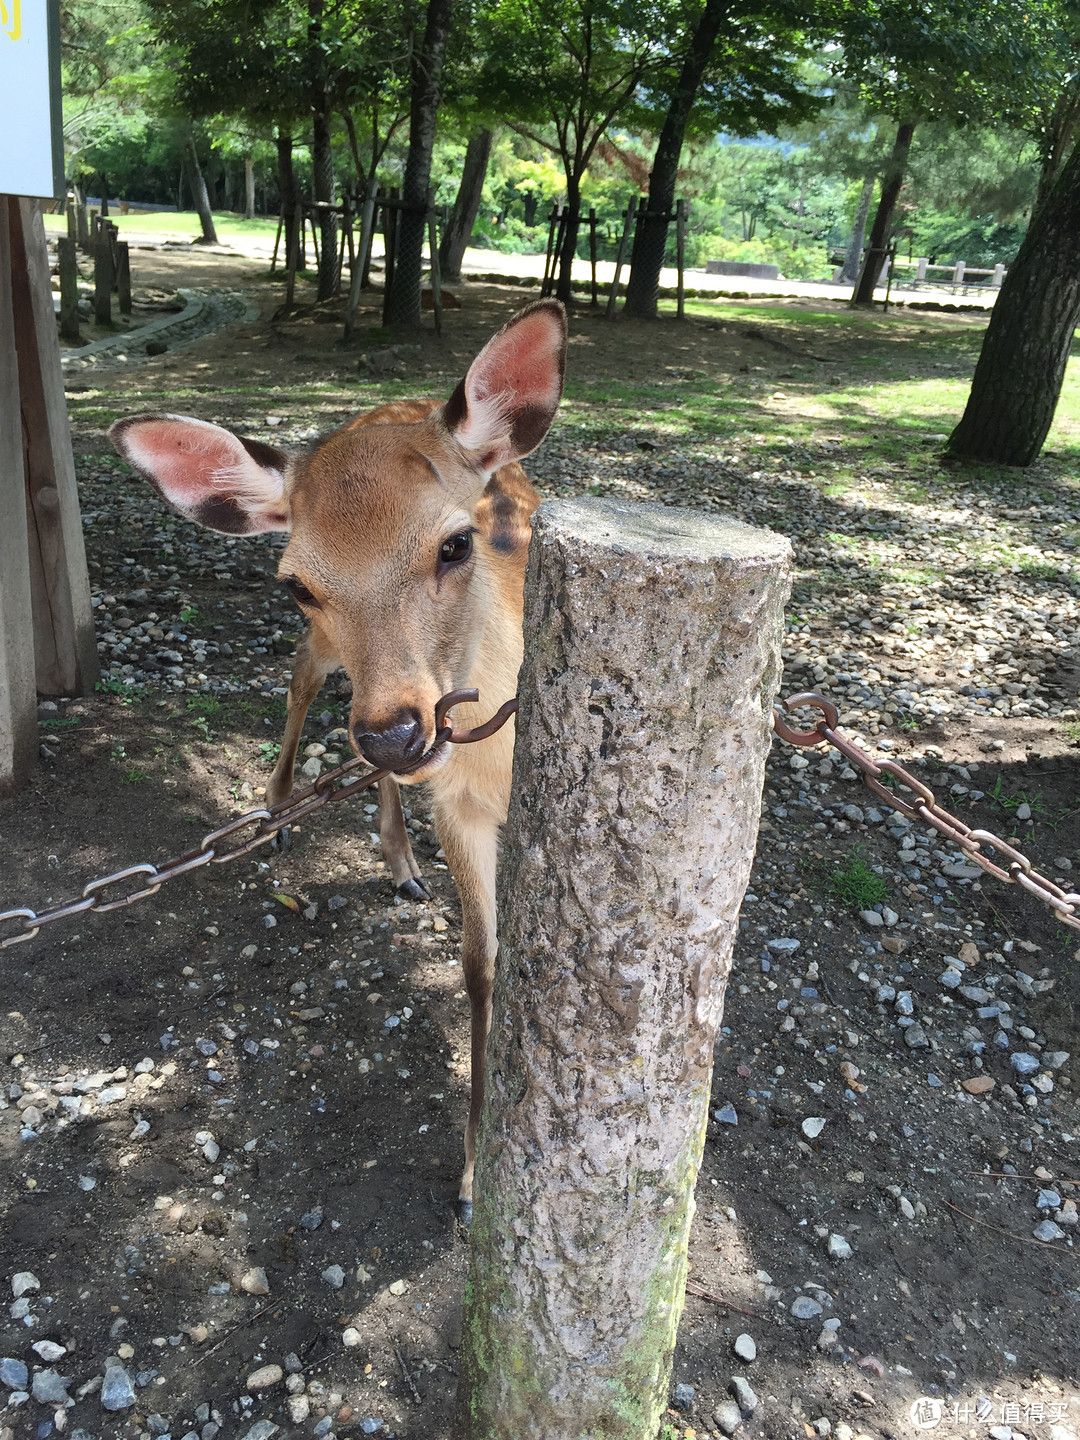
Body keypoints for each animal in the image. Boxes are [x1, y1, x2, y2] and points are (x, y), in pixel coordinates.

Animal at [108, 300, 567, 1215]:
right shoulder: (456, 803)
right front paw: (472, 1176)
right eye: (297, 582)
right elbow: (481, 968)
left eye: (456, 544)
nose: (398, 733)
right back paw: (284, 809)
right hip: (333, 665)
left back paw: (398, 861)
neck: (500, 763)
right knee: (298, 682)